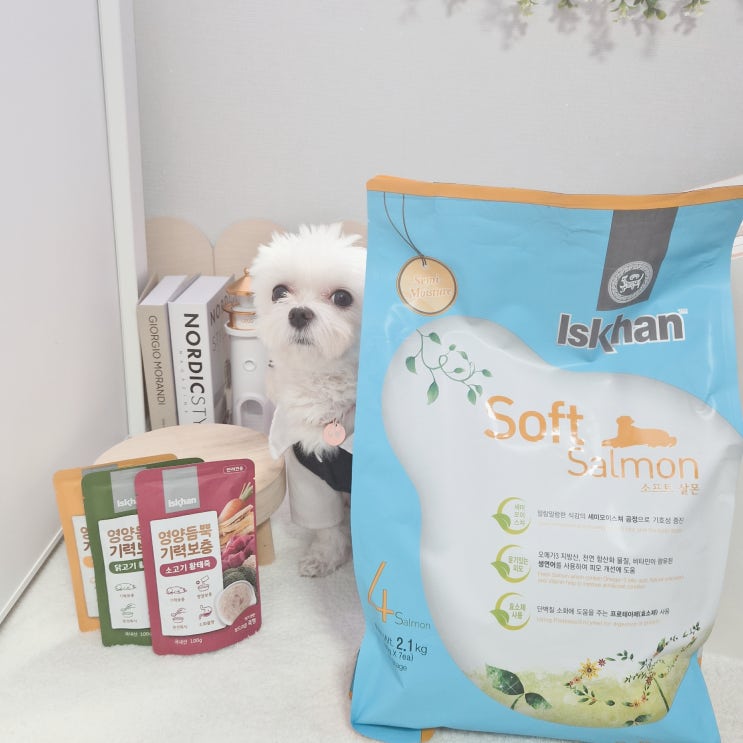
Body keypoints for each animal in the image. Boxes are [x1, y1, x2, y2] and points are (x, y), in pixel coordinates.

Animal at [249, 224, 366, 577]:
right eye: (279, 292)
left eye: (342, 297)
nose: (299, 313)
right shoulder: (308, 473)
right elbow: (327, 527)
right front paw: (325, 558)